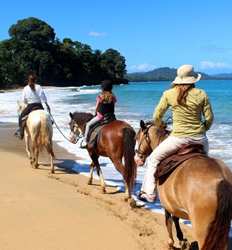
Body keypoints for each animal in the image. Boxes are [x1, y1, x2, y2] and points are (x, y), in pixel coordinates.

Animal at [135, 120, 232, 249]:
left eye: (136, 137)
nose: (137, 159)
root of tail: (222, 179)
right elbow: (175, 218)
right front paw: (182, 239)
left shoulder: (167, 204)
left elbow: (169, 221)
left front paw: (173, 242)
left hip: (203, 230)